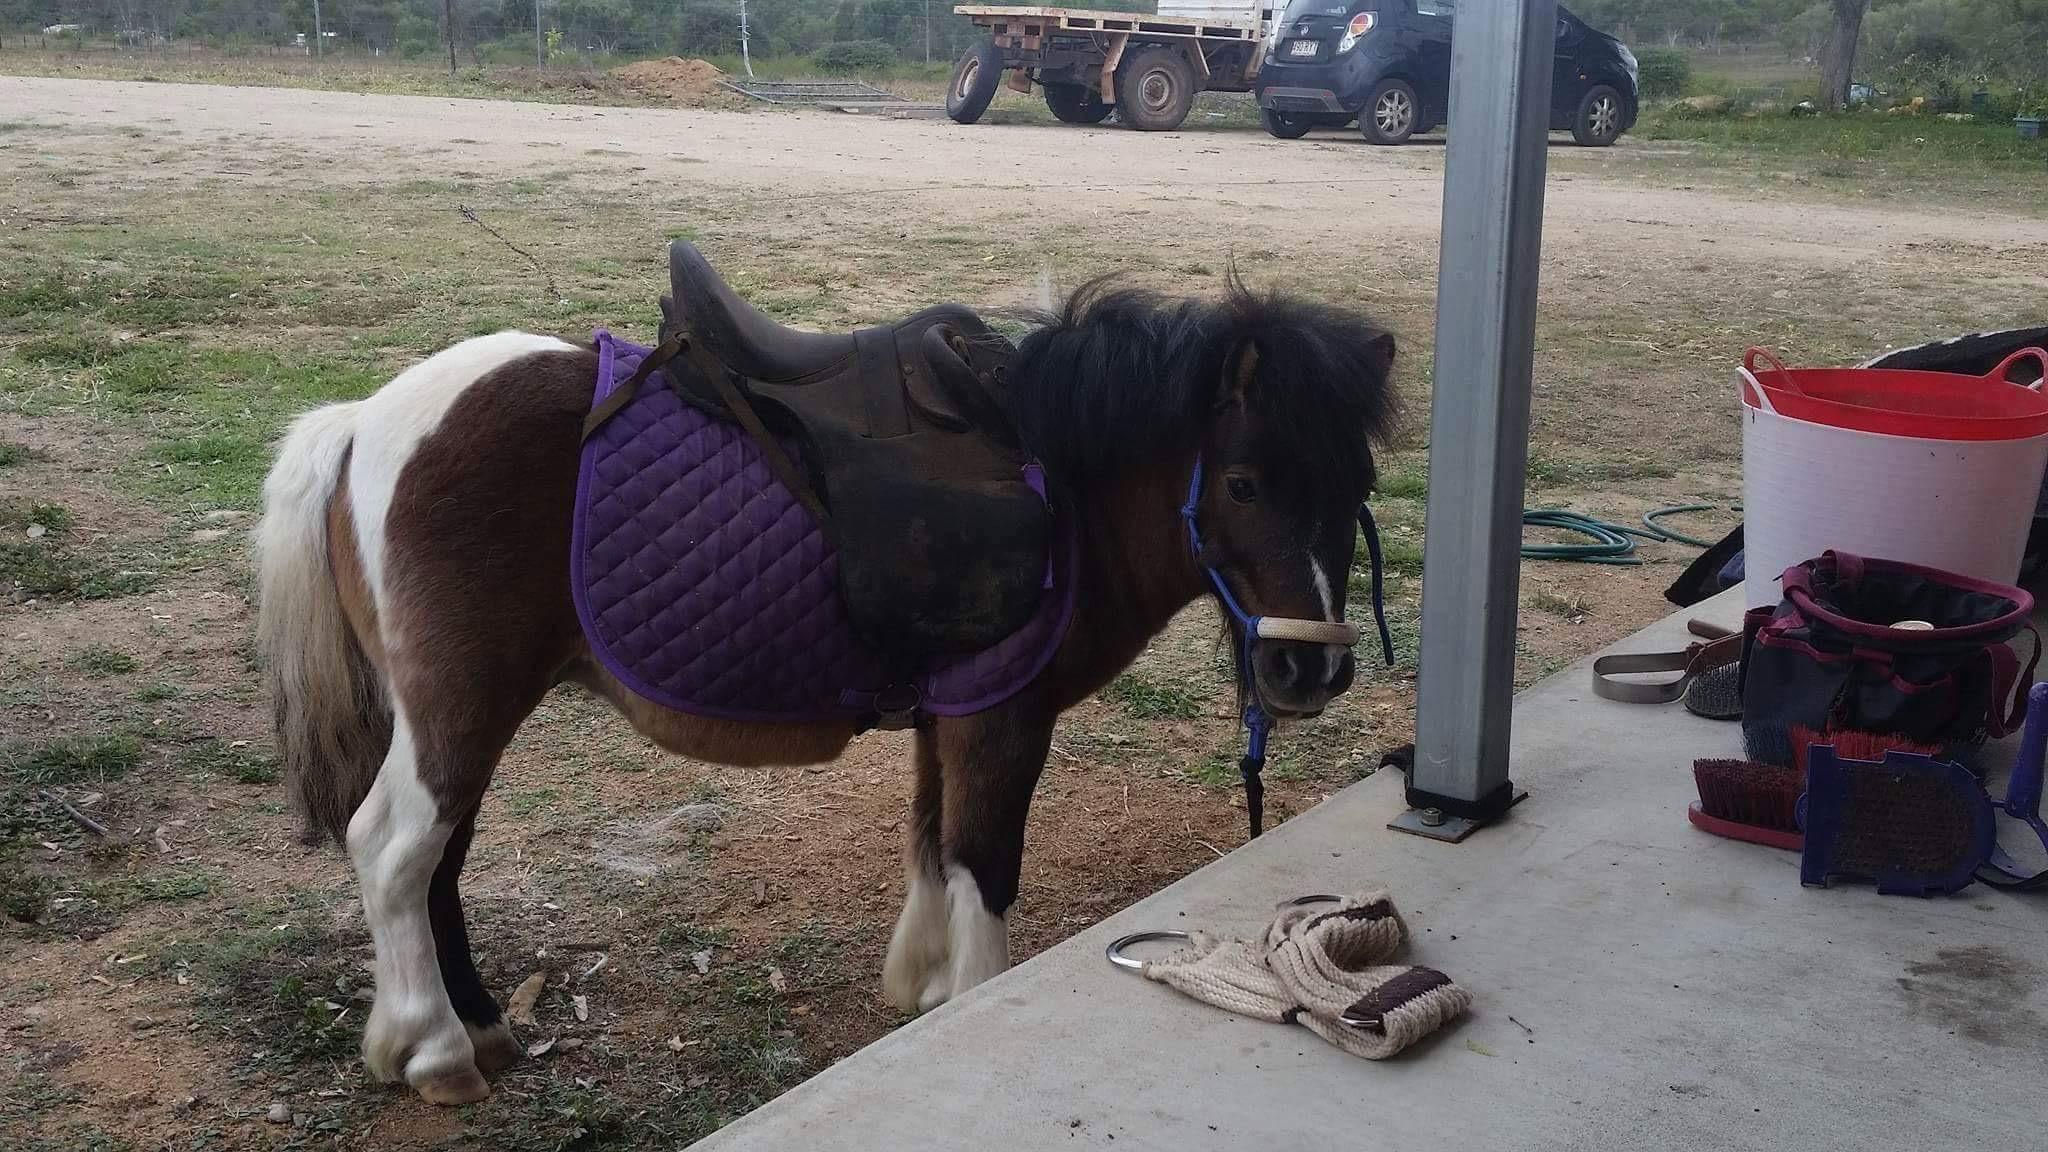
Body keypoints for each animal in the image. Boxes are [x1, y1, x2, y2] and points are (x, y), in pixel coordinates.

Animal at [251, 277, 1400, 1105]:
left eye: (1357, 485)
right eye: (1243, 483)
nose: (1313, 668)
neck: (1064, 494)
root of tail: (365, 421)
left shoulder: (948, 717)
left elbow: (931, 842)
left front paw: (923, 988)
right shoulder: (1003, 718)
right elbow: (984, 866)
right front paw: (967, 1000)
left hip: (460, 714)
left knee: (438, 861)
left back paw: (479, 1025)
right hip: (461, 705)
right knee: (394, 851)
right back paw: (434, 1052)